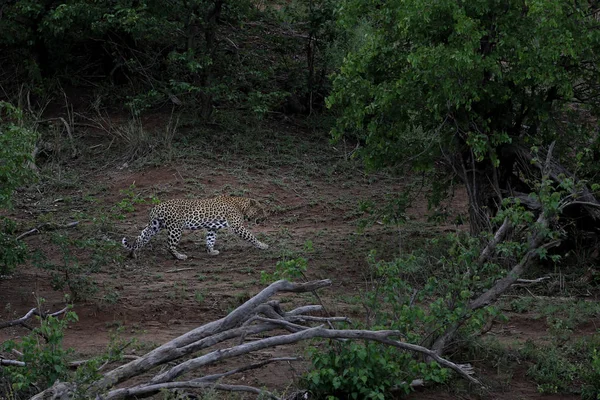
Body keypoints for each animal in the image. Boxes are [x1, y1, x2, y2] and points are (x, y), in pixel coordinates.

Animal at [120, 196, 268, 260]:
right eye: (260, 210)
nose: (266, 216)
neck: (241, 206)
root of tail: (156, 207)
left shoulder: (212, 228)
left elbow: (210, 240)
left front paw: (211, 251)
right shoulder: (237, 226)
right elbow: (251, 236)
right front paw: (262, 245)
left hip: (155, 226)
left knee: (140, 238)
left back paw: (133, 253)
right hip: (176, 228)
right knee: (170, 246)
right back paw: (180, 256)